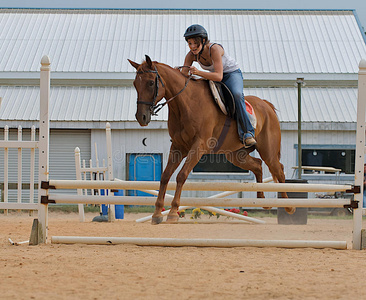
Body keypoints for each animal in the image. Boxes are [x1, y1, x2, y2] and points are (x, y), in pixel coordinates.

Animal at [127, 55, 294, 225]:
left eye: (150, 83)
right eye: (135, 84)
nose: (141, 117)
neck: (185, 104)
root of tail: (266, 105)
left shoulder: (199, 146)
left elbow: (181, 175)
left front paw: (173, 212)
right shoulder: (178, 146)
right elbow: (165, 176)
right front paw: (157, 214)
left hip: (268, 151)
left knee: (278, 170)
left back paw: (288, 206)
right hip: (236, 155)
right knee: (258, 165)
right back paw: (262, 201)